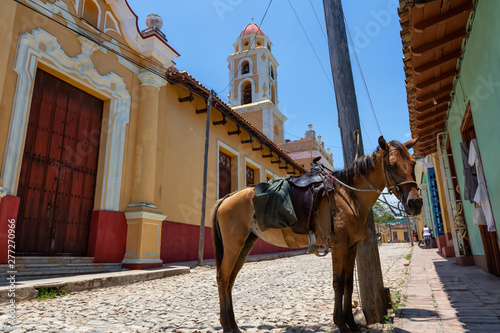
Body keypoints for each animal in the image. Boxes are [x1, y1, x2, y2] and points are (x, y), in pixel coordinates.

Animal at [211, 136, 422, 330]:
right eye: (392, 165)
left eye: (413, 163)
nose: (416, 203)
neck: (349, 197)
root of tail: (226, 198)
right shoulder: (339, 246)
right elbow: (338, 283)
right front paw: (341, 323)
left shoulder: (352, 246)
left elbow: (348, 283)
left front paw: (352, 324)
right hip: (233, 246)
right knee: (223, 278)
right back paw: (227, 326)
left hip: (245, 244)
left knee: (230, 279)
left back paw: (233, 325)